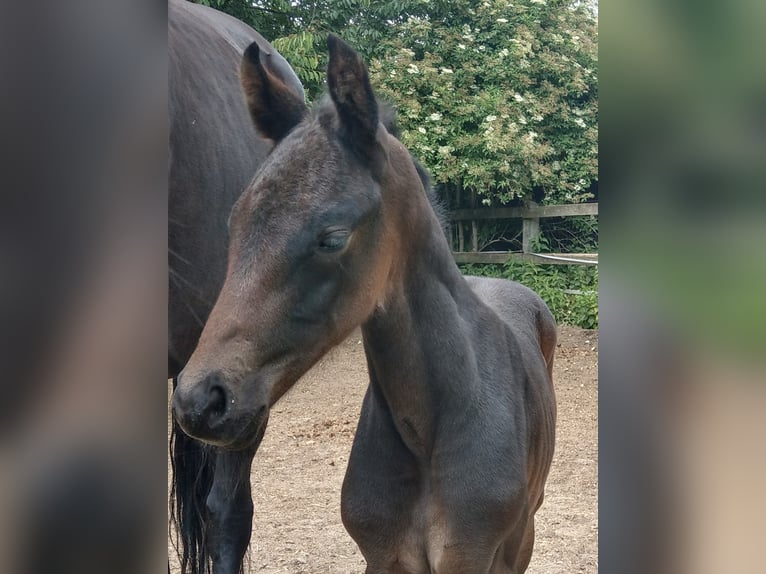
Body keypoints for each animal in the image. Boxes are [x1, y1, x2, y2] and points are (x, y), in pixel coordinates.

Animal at [173, 35, 557, 573]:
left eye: (333, 237)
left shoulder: (479, 555)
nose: (199, 401)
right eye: (235, 221)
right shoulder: (385, 557)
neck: (429, 429)